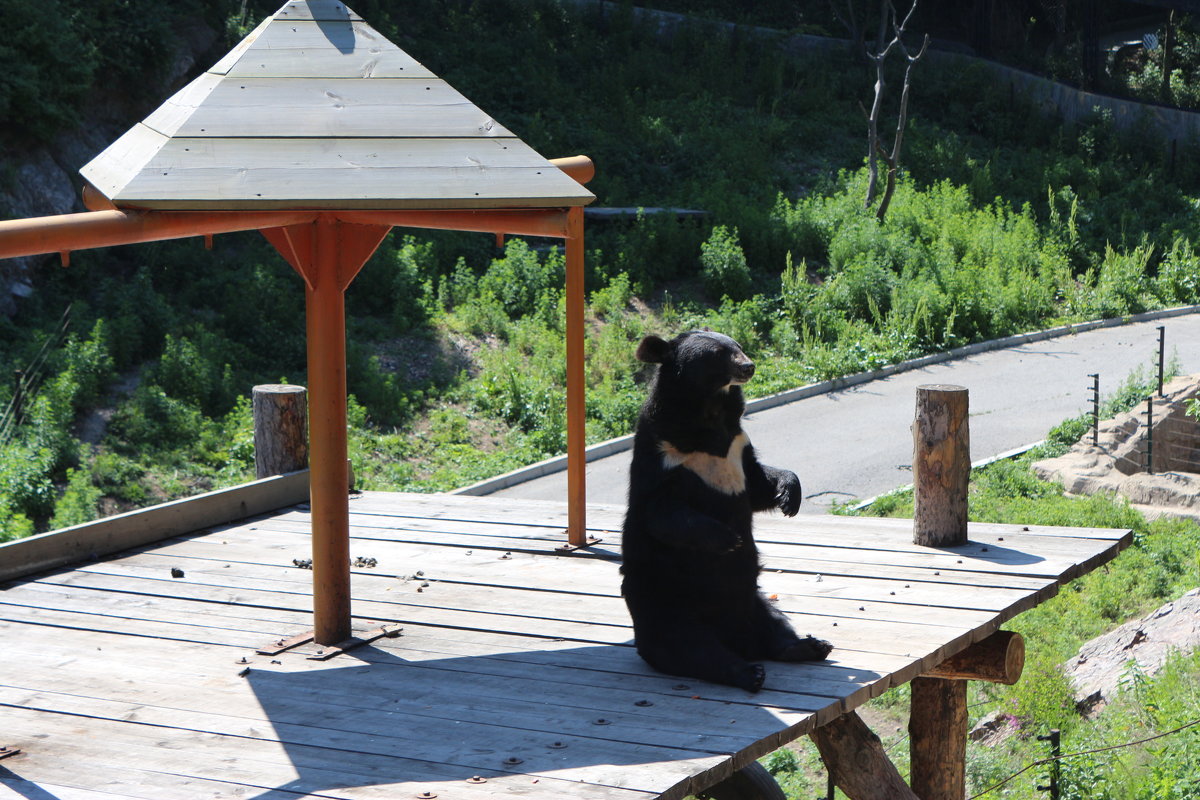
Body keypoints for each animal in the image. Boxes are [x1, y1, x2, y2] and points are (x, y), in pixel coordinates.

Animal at [624, 328, 830, 690]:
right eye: (718, 355)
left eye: (738, 346)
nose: (748, 366)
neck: (710, 413)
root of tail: (739, 638)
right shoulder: (666, 458)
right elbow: (662, 513)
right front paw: (727, 538)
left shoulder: (738, 446)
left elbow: (759, 483)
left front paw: (789, 497)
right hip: (666, 603)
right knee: (691, 648)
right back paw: (748, 671)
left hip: (756, 600)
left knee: (776, 626)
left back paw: (810, 645)